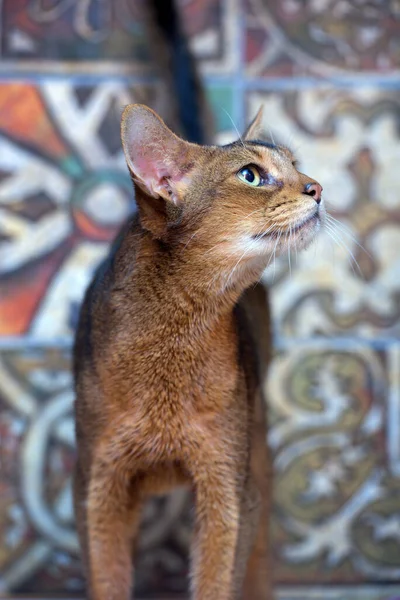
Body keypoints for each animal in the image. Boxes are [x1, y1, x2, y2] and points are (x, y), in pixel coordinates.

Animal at [72, 101, 324, 596]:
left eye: (294, 163)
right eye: (251, 176)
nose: (317, 188)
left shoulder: (227, 483)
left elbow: (217, 581)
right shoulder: (98, 485)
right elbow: (106, 579)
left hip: (256, 451)